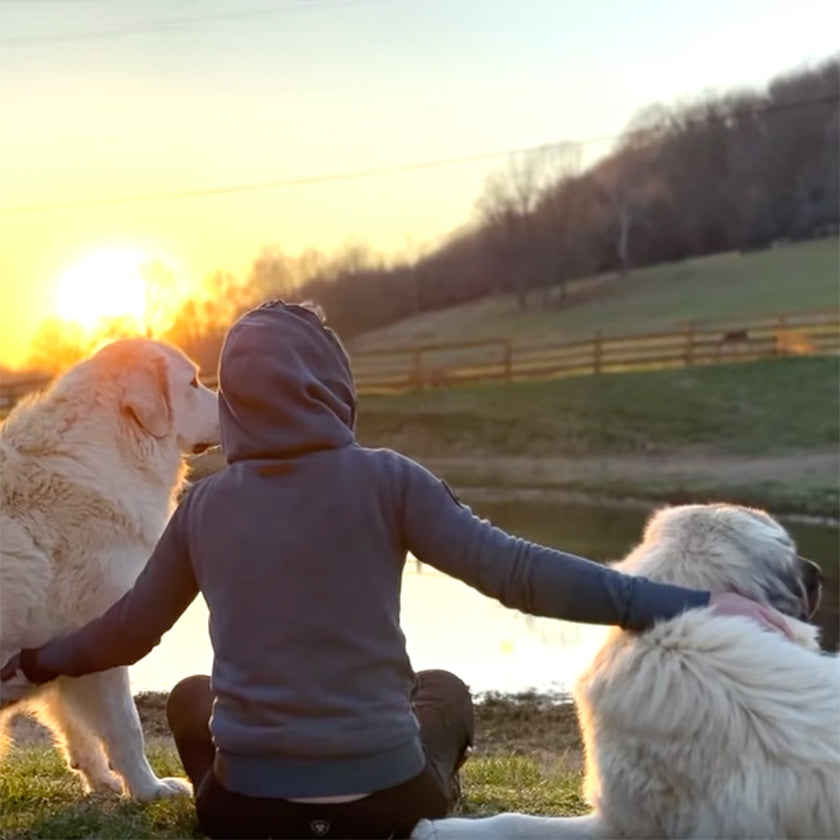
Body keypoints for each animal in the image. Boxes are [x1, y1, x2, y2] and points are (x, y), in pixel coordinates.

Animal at [0, 340, 220, 800]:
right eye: (193, 382)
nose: (228, 404)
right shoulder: (102, 640)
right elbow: (125, 728)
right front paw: (149, 789)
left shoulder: (55, 652)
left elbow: (79, 730)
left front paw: (101, 780)